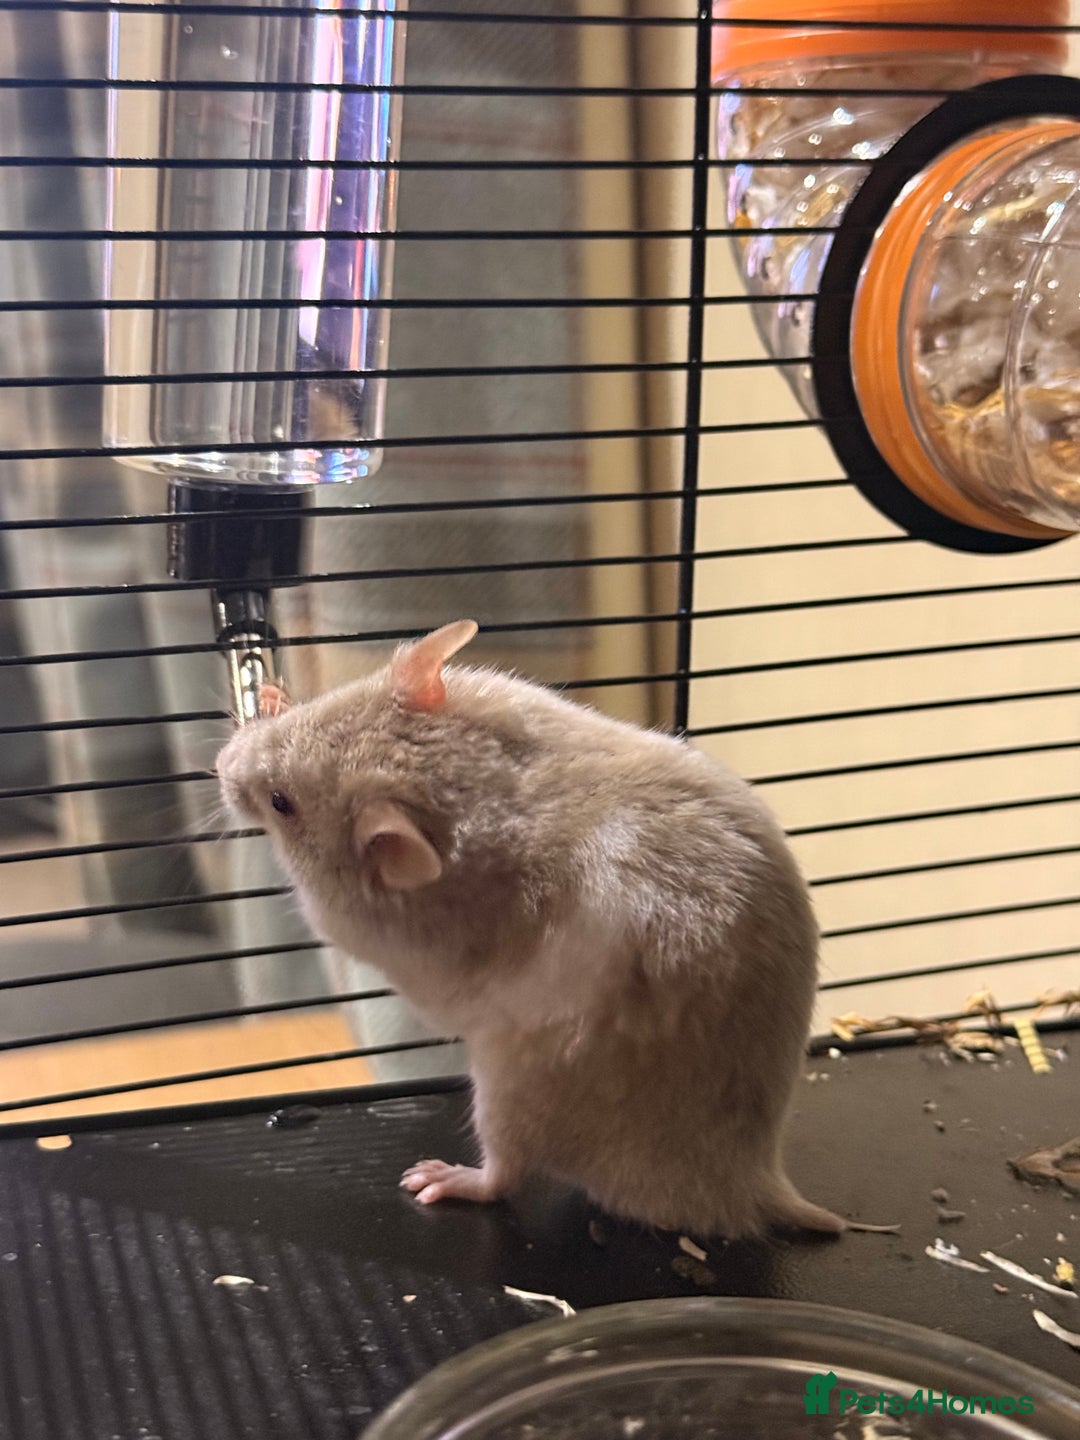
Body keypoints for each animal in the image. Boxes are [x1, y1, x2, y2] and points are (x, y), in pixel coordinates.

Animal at [216, 619, 844, 1240]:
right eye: (310, 714)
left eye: (282, 802)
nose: (220, 767)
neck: (472, 789)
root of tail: (749, 1184)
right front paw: (269, 695)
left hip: (509, 1097)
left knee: (504, 1176)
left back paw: (443, 1178)